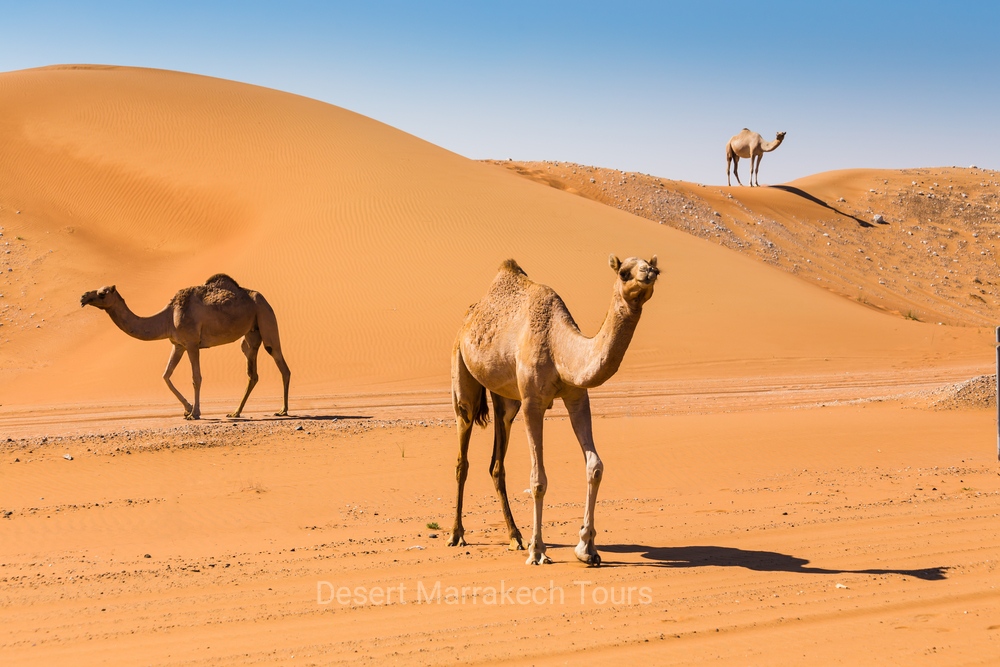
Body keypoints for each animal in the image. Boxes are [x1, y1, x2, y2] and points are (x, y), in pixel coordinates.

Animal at [82, 274, 290, 420]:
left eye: (102, 293)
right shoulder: (178, 345)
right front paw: (187, 408)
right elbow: (166, 375)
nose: (83, 296)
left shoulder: (191, 343)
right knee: (252, 371)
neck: (168, 317)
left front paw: (194, 413)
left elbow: (196, 377)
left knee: (279, 361)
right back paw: (235, 413)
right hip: (251, 332)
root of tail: (264, 298)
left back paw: (283, 410)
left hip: (265, 315)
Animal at [450, 253, 660, 568]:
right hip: (463, 375)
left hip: (506, 400)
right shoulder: (532, 401)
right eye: (624, 272)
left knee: (497, 463)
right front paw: (538, 551)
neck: (559, 346)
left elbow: (595, 466)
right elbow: (538, 479)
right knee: (463, 454)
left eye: (653, 266)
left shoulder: (577, 396)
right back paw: (457, 534)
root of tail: (467, 320)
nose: (649, 273)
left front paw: (587, 548)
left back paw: (515, 536)